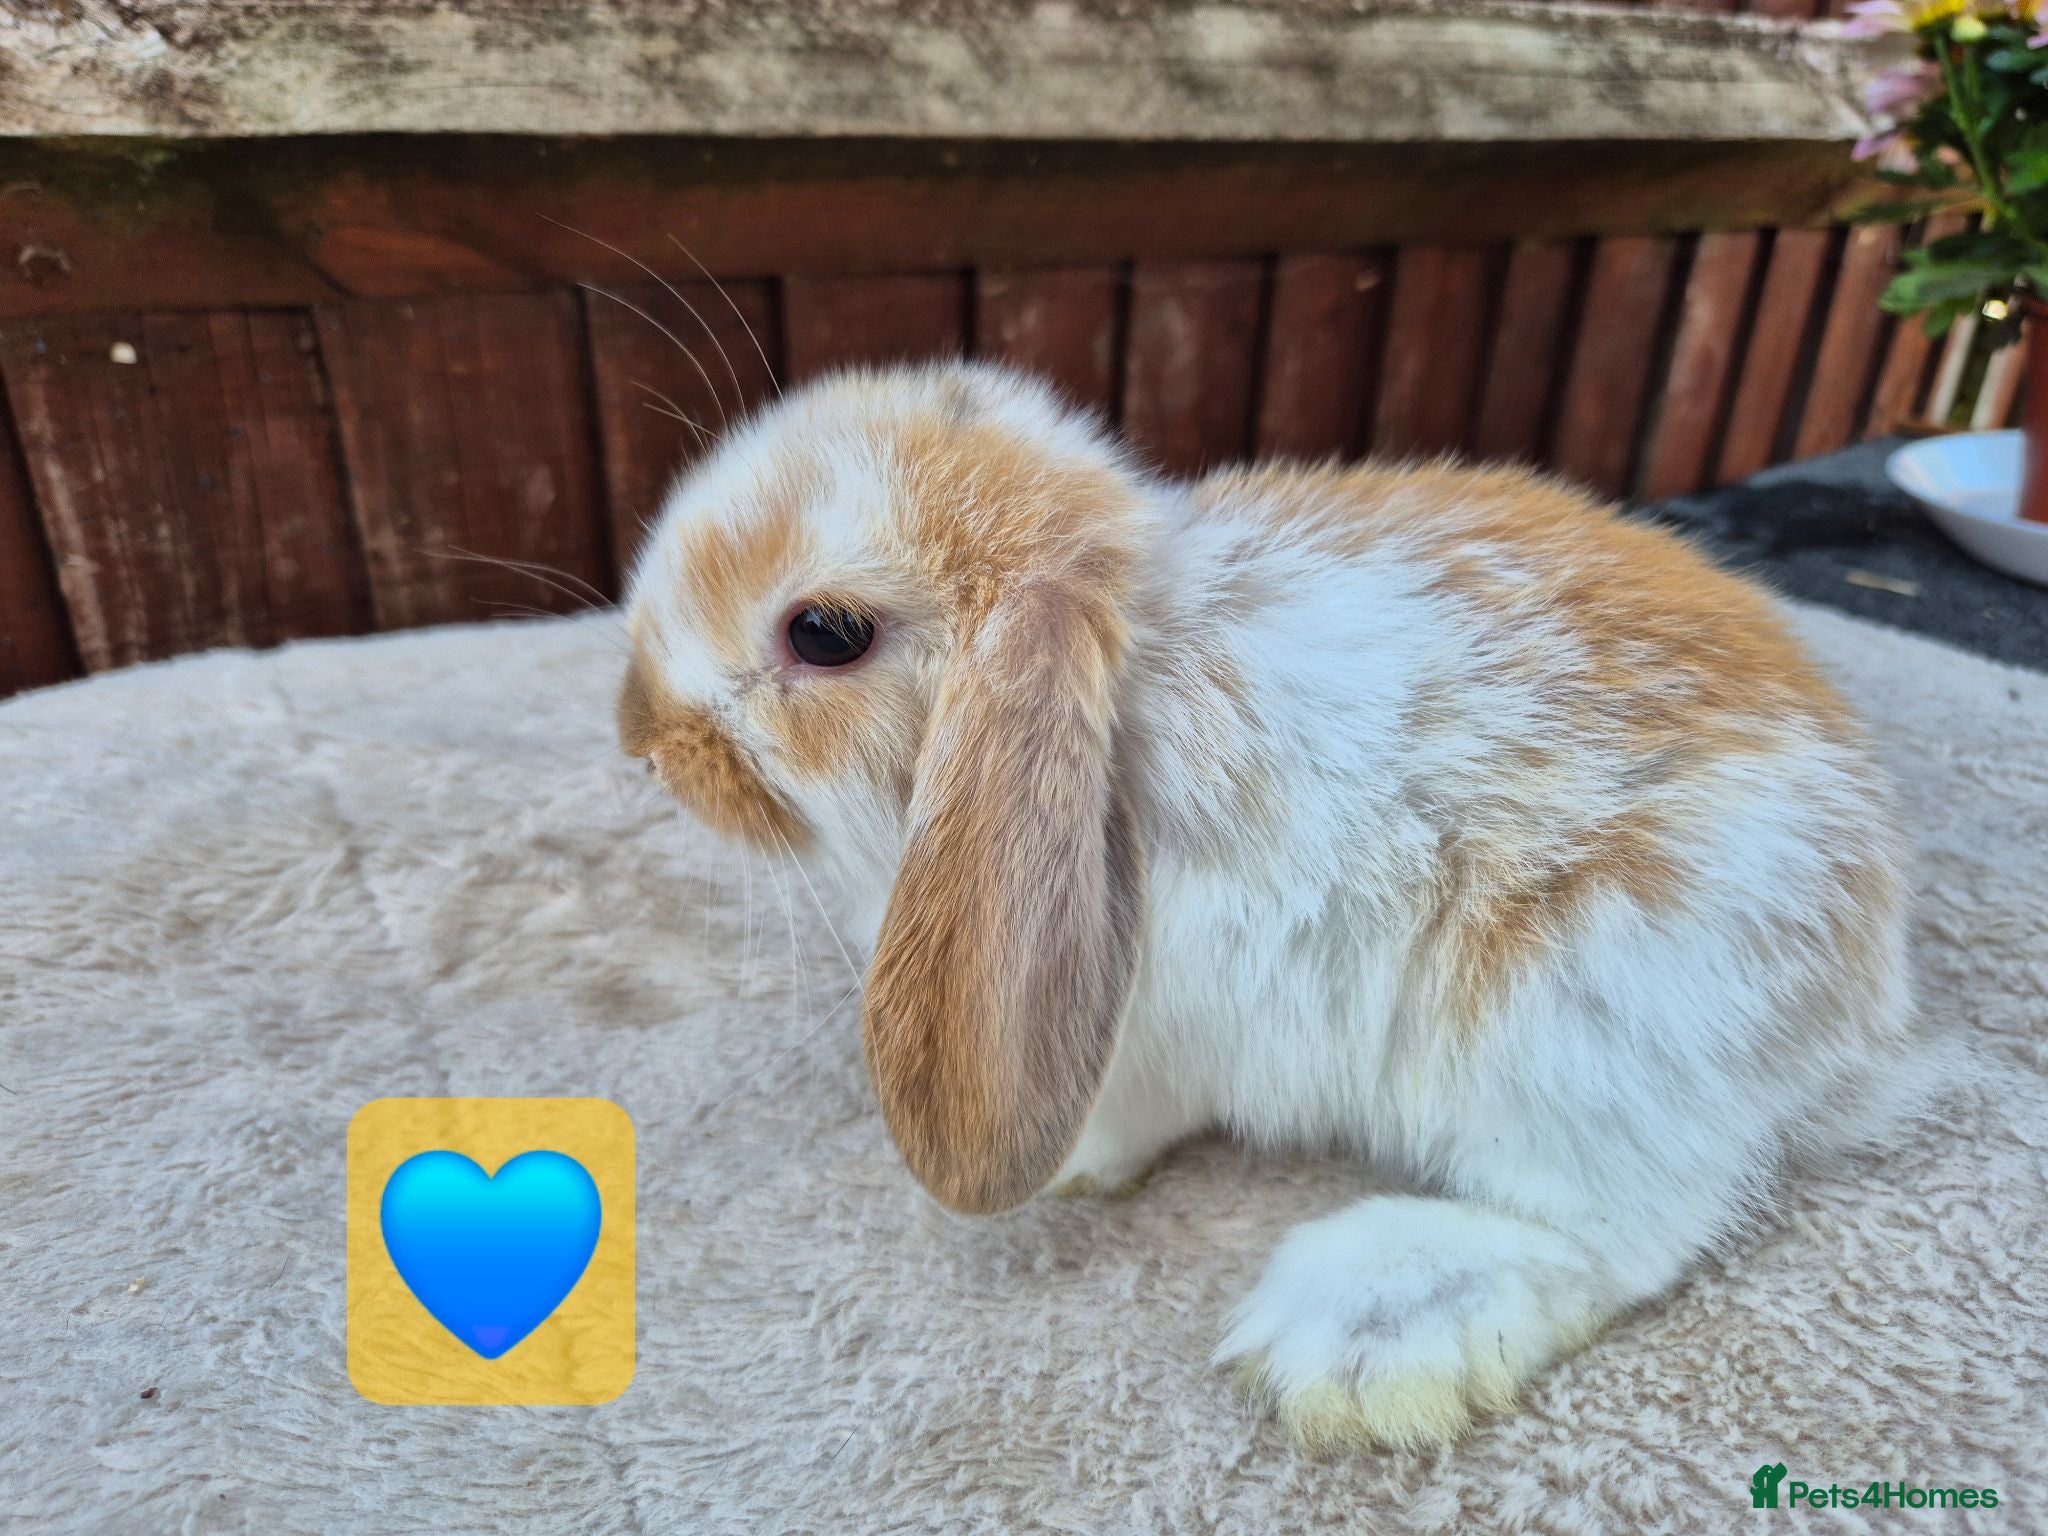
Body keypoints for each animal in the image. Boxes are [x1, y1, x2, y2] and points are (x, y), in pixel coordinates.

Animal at [616, 360, 1944, 1451]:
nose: (641, 737)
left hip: (1570, 1021)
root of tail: (1858, 1006)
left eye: (824, 633)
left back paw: (1363, 1337)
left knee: (1623, 1230)